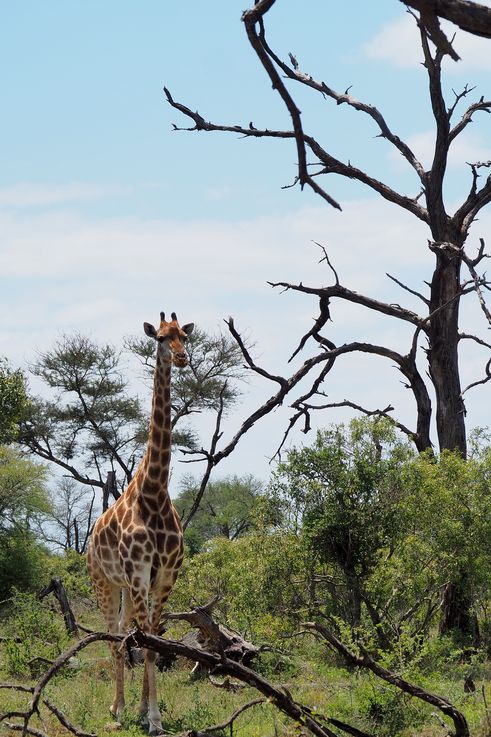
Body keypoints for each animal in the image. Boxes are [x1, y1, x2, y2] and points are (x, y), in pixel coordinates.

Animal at [87, 311, 194, 735]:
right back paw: (115, 710)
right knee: (114, 637)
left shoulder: (164, 575)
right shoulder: (138, 573)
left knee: (125, 633)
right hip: (105, 582)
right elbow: (144, 642)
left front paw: (150, 713)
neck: (154, 491)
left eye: (184, 336)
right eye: (160, 338)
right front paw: (151, 718)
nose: (182, 358)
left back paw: (127, 707)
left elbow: (153, 642)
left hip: (129, 587)